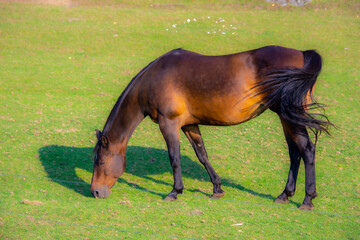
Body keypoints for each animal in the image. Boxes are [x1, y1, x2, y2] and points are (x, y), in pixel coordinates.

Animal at [90, 45, 332, 210]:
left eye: (100, 162)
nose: (95, 192)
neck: (155, 78)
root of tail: (302, 53)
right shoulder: (189, 124)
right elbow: (202, 155)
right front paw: (217, 188)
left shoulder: (169, 124)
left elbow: (174, 157)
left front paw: (175, 191)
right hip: (287, 117)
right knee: (294, 152)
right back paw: (284, 195)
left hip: (289, 116)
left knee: (307, 150)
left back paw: (307, 199)